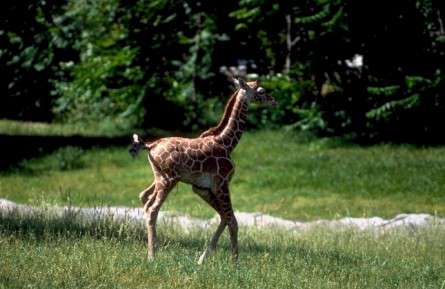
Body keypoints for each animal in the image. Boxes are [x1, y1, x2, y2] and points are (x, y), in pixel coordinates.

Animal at [128, 77, 276, 264]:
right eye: (261, 91)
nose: (274, 101)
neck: (227, 143)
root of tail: (150, 145)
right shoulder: (222, 183)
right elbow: (232, 220)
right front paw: (235, 262)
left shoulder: (202, 188)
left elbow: (224, 217)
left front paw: (202, 259)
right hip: (168, 180)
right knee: (152, 209)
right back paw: (152, 256)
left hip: (160, 177)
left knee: (144, 197)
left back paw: (157, 248)